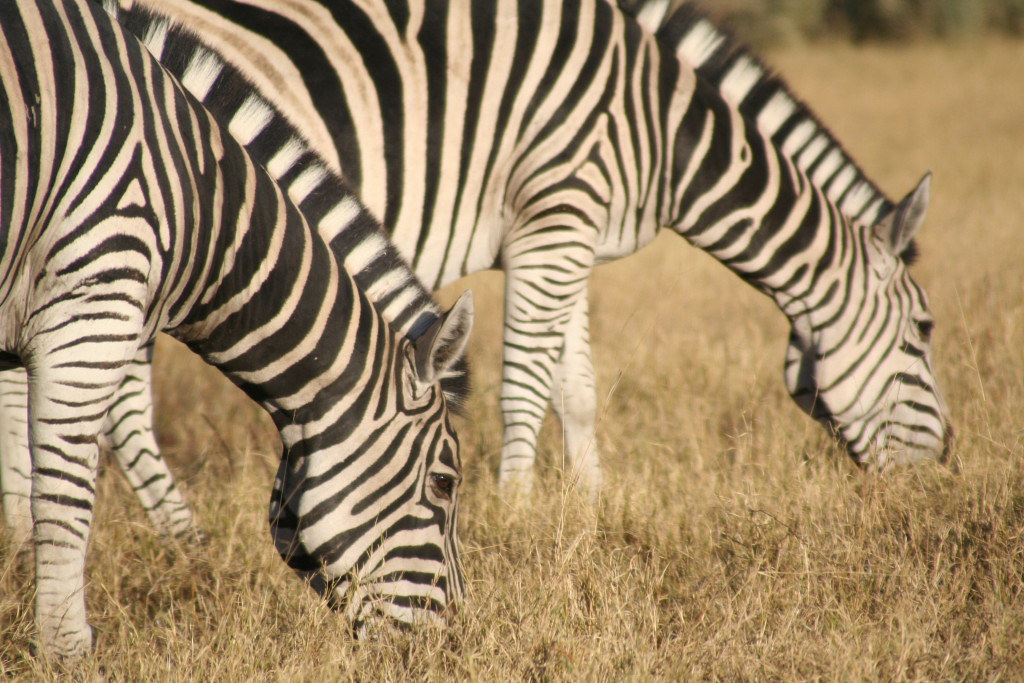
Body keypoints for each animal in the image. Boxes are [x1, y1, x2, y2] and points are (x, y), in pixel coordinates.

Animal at [0, 0, 473, 658]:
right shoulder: (92, 306)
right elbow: (65, 494)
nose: (448, 646)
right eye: (445, 483)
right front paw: (65, 652)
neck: (199, 203)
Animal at [94, 0, 949, 499]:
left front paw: (592, 507)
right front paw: (514, 511)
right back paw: (173, 535)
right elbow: (525, 384)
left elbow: (577, 387)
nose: (945, 471)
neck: (661, 126)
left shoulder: (566, 239)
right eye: (925, 332)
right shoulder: (556, 222)